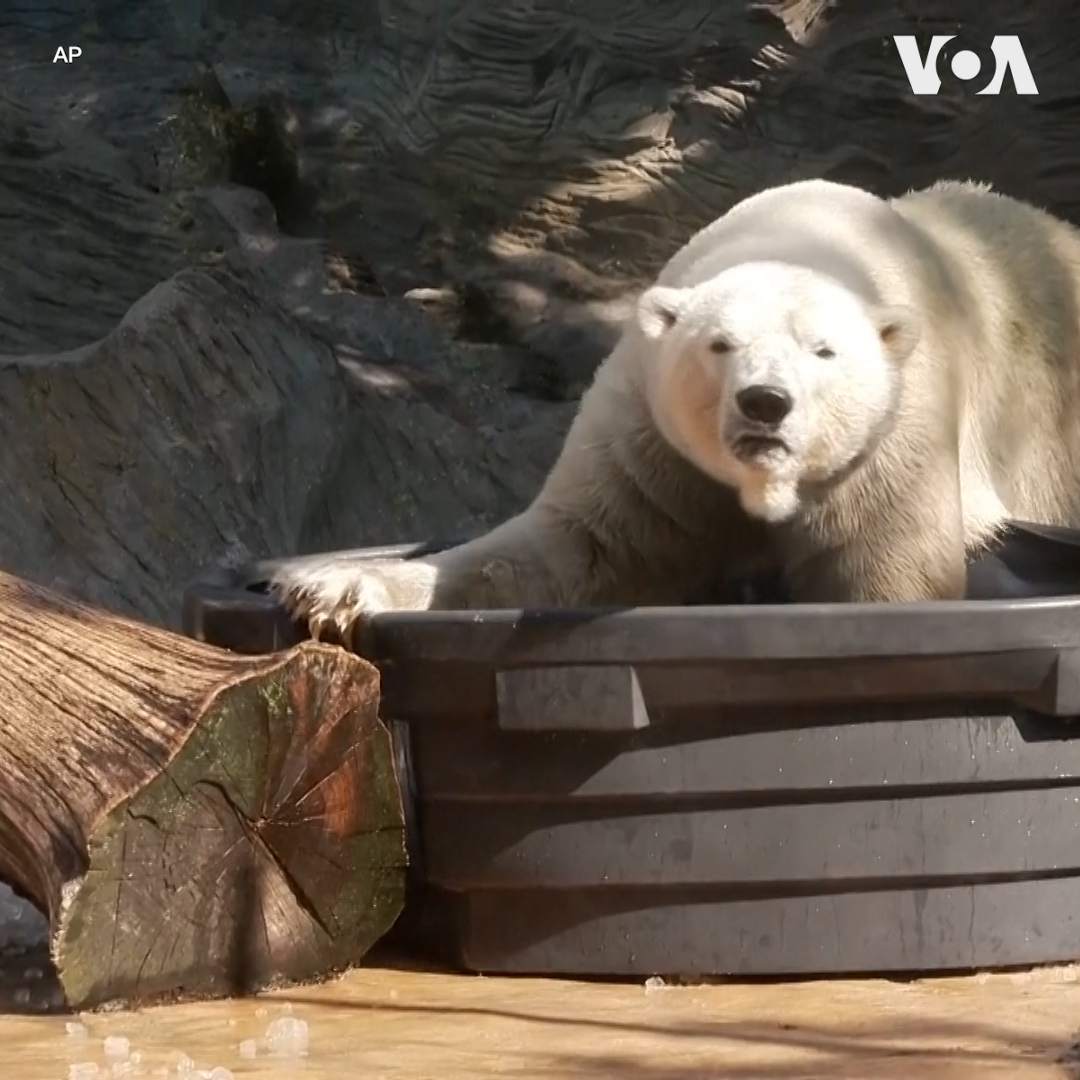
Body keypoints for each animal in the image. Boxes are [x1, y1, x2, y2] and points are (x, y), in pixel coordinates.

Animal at [262, 177, 1080, 639]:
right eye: (720, 344)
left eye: (823, 351)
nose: (765, 403)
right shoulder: (651, 448)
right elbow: (567, 548)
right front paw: (332, 587)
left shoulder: (890, 446)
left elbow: (886, 573)